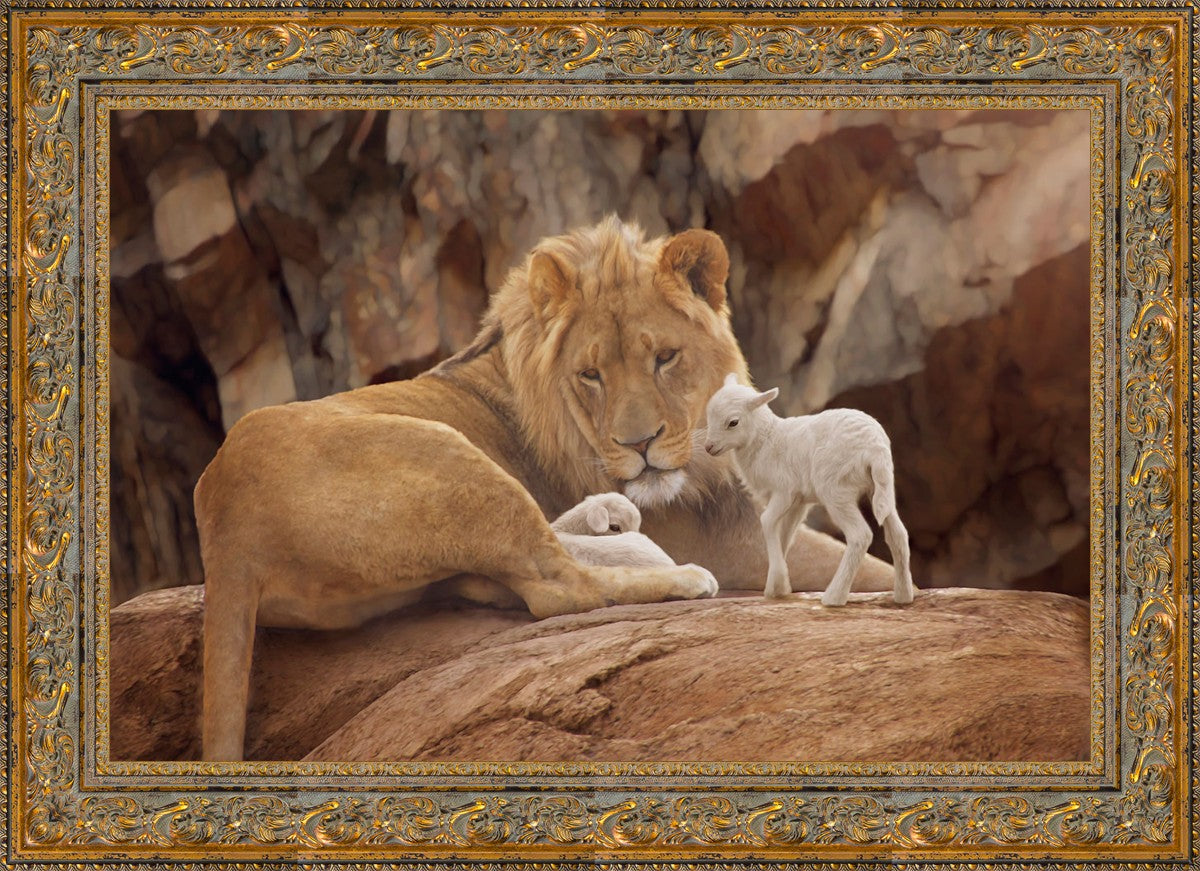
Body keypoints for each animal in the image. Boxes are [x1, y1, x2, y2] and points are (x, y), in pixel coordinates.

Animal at [703, 374, 915, 607]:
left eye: (733, 422)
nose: (708, 447)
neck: (765, 440)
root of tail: (875, 448)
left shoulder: (784, 491)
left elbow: (766, 521)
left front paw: (778, 582)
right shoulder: (798, 502)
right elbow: (785, 534)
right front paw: (777, 587)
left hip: (835, 489)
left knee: (860, 535)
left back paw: (834, 597)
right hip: (881, 487)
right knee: (898, 534)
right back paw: (903, 595)